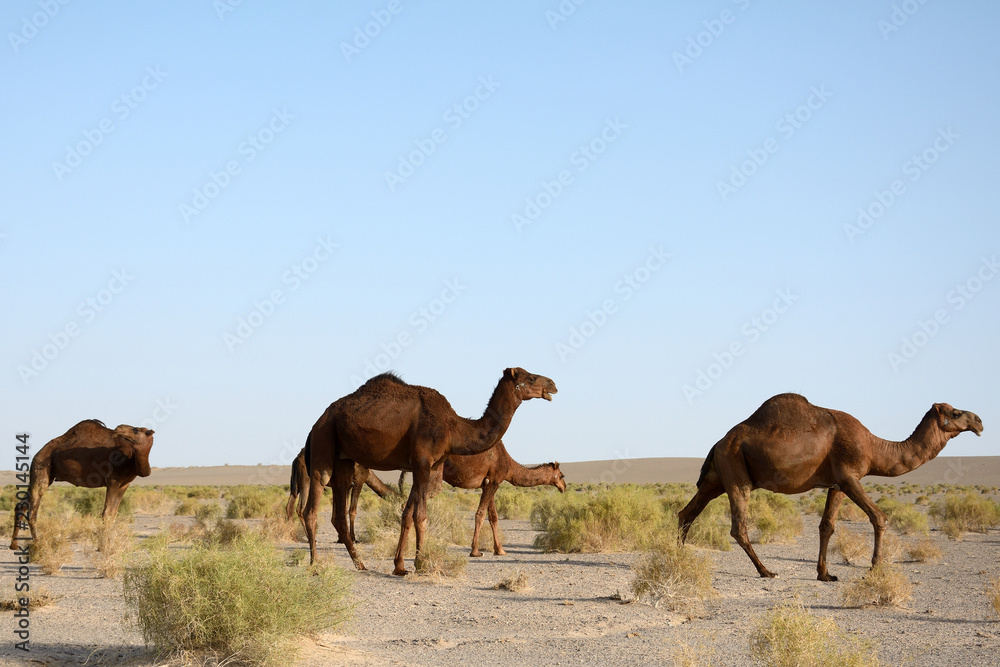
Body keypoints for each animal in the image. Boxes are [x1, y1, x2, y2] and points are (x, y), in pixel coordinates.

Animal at [7, 420, 155, 552]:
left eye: (136, 429)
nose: (119, 427)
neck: (130, 457)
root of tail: (38, 453)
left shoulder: (124, 484)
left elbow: (113, 515)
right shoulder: (113, 480)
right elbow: (106, 514)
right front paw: (103, 547)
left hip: (43, 471)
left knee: (21, 506)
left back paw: (14, 545)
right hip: (41, 466)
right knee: (33, 508)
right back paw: (38, 544)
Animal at [300, 368, 560, 576]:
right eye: (531, 377)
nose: (553, 384)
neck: (454, 427)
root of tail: (317, 422)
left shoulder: (429, 466)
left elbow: (407, 514)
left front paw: (400, 565)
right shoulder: (423, 462)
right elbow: (421, 516)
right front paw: (422, 563)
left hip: (343, 457)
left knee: (338, 513)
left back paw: (360, 563)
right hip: (324, 439)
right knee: (311, 507)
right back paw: (315, 563)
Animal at [676, 394, 980, 580]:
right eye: (956, 412)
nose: (979, 421)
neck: (874, 447)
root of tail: (718, 442)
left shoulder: (838, 483)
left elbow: (827, 526)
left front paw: (824, 574)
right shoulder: (849, 476)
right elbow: (879, 517)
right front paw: (876, 568)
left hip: (717, 477)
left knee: (687, 512)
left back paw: (677, 558)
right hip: (736, 472)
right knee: (738, 526)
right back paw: (767, 571)